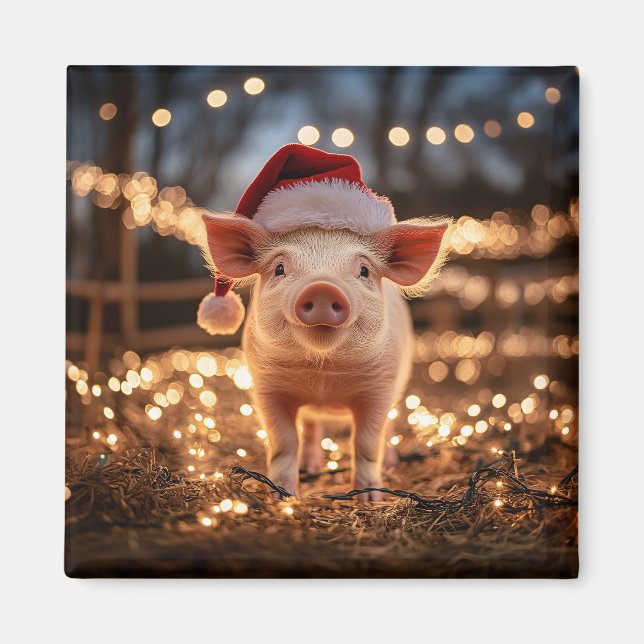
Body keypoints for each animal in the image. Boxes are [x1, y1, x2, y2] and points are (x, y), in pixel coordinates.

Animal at [203, 213, 450, 502]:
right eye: (279, 268)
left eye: (364, 271)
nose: (322, 288)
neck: (322, 375)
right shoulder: (266, 389)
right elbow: (284, 441)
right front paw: (281, 496)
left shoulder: (381, 388)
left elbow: (366, 443)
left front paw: (369, 500)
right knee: (310, 428)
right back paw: (310, 467)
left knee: (388, 428)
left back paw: (389, 464)